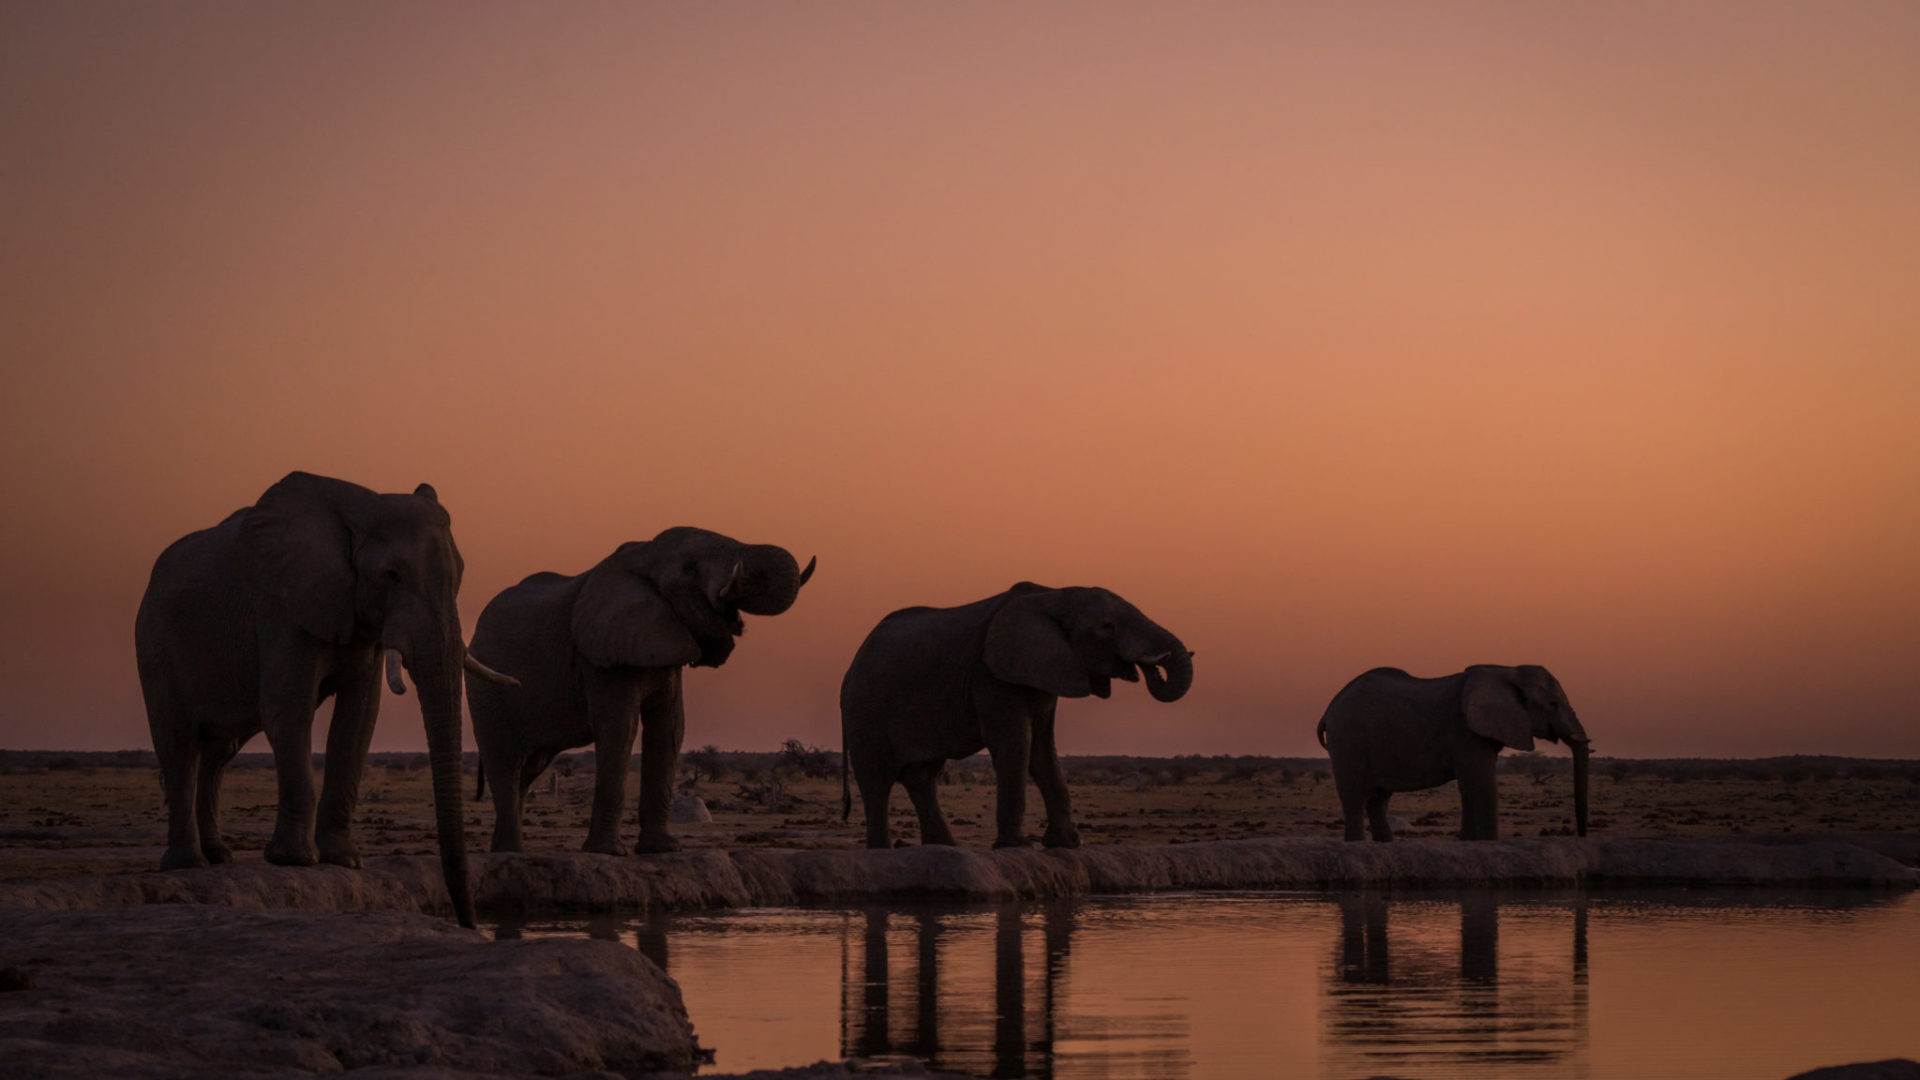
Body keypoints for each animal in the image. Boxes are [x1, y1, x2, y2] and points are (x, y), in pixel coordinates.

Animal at [134, 472, 514, 927]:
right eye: (392, 575)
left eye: (459, 575)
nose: (471, 924)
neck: (356, 510)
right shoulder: (283, 608)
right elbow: (289, 709)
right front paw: (295, 861)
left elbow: (359, 717)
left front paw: (343, 861)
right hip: (154, 643)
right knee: (179, 744)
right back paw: (187, 864)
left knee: (219, 752)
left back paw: (219, 857)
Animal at [466, 527, 814, 855]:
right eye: (689, 569)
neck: (644, 554)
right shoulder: (603, 653)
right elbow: (621, 727)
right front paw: (608, 852)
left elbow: (670, 729)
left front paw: (663, 849)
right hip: (486, 689)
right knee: (506, 763)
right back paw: (510, 851)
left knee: (528, 770)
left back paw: (506, 849)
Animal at [840, 582, 1193, 850]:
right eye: (1107, 627)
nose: (1150, 667)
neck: (1054, 594)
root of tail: (852, 662)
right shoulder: (990, 673)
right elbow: (1016, 741)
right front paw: (1017, 846)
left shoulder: (1045, 670)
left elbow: (1041, 747)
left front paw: (1067, 844)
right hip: (864, 707)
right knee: (878, 779)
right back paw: (882, 851)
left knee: (922, 776)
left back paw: (944, 848)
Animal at [1315, 664, 1590, 842]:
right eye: (1552, 704)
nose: (1581, 836)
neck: (1505, 670)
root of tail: (1329, 707)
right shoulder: (1465, 731)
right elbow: (1482, 785)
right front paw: (1489, 842)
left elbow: (1469, 786)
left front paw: (1468, 842)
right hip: (1348, 739)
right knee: (1354, 797)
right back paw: (1357, 844)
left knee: (1378, 798)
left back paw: (1386, 844)